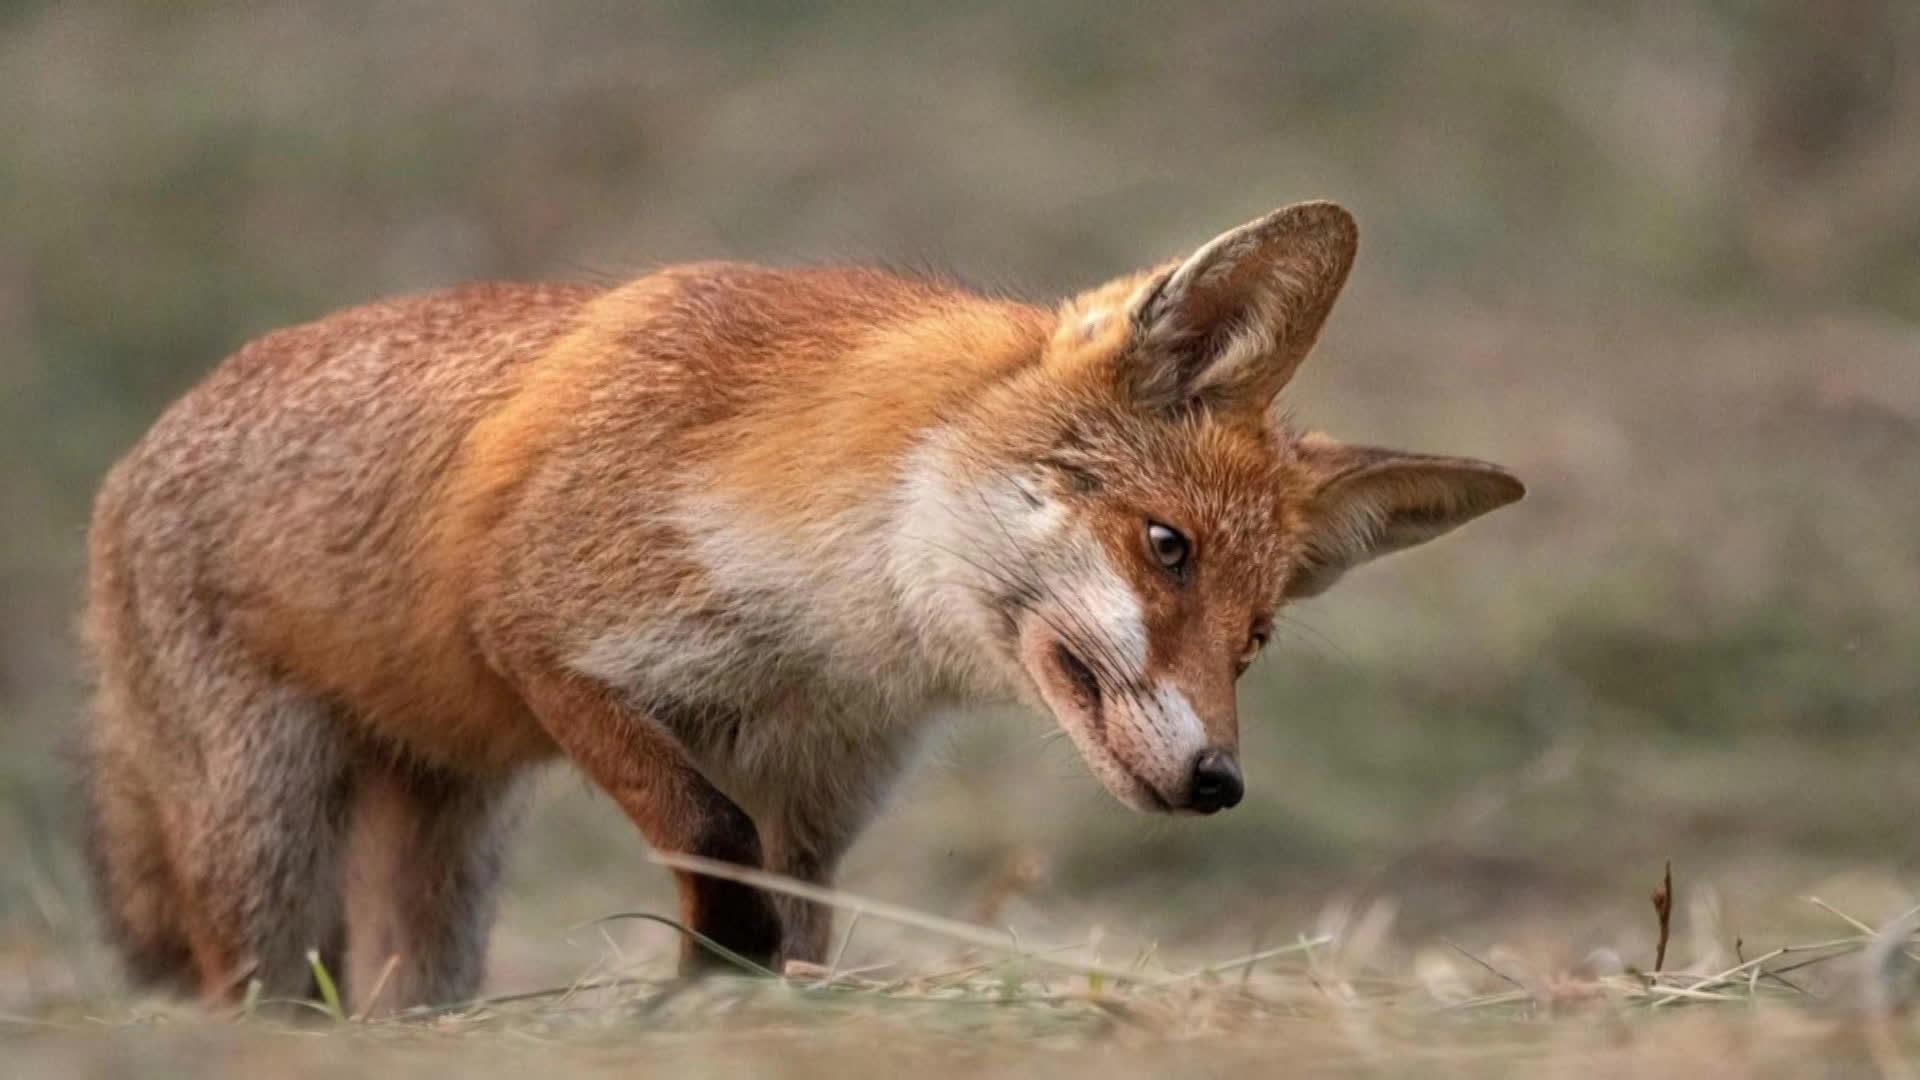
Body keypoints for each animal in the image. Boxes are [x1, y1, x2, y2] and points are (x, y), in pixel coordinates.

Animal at [82, 199, 1520, 1006]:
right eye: (1165, 547)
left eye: (1257, 635)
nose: (1221, 781)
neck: (824, 629)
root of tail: (130, 459)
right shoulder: (547, 641)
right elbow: (706, 836)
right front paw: (714, 977)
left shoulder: (819, 788)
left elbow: (801, 918)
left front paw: (749, 1007)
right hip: (266, 837)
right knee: (252, 988)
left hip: (445, 866)